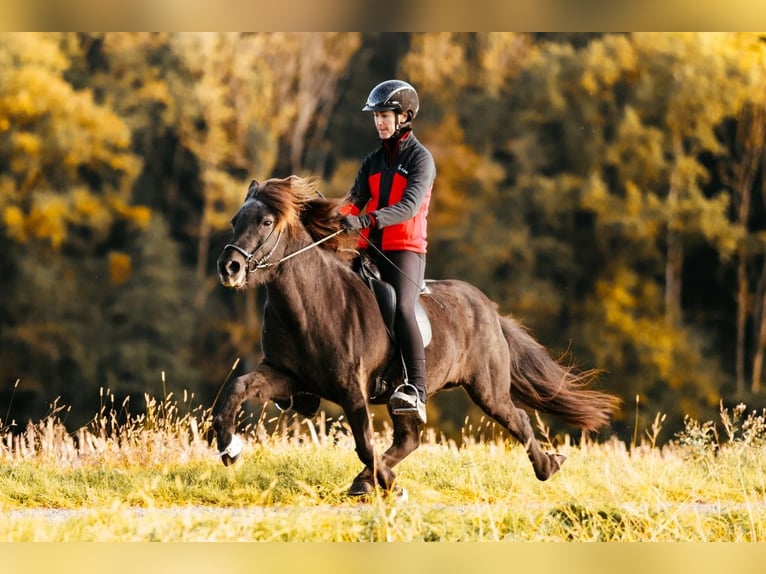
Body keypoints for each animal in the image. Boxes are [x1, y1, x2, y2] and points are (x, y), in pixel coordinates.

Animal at [214, 174, 624, 496]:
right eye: (236, 220)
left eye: (266, 221)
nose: (229, 267)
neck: (311, 302)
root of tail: (489, 309)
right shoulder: (285, 375)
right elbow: (237, 389)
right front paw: (229, 447)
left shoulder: (351, 389)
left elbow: (364, 443)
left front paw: (390, 485)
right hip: (407, 396)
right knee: (410, 439)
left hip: (486, 388)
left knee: (518, 420)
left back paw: (547, 466)